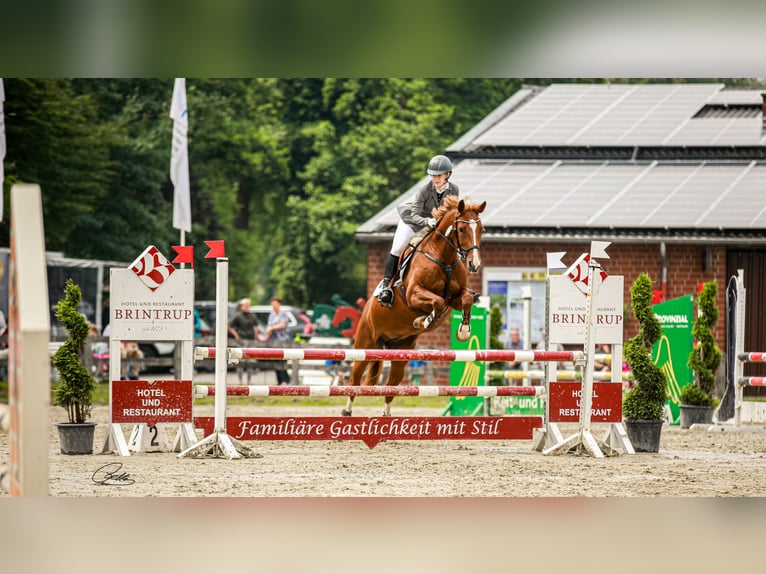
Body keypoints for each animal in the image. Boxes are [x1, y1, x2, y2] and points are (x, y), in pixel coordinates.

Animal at [342, 196, 486, 416]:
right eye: (461, 229)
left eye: (481, 229)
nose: (474, 264)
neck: (444, 258)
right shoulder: (413, 294)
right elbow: (437, 302)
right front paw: (424, 321)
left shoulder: (456, 297)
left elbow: (466, 300)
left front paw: (463, 331)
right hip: (365, 344)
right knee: (355, 378)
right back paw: (347, 411)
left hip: (401, 352)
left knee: (391, 385)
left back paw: (386, 415)